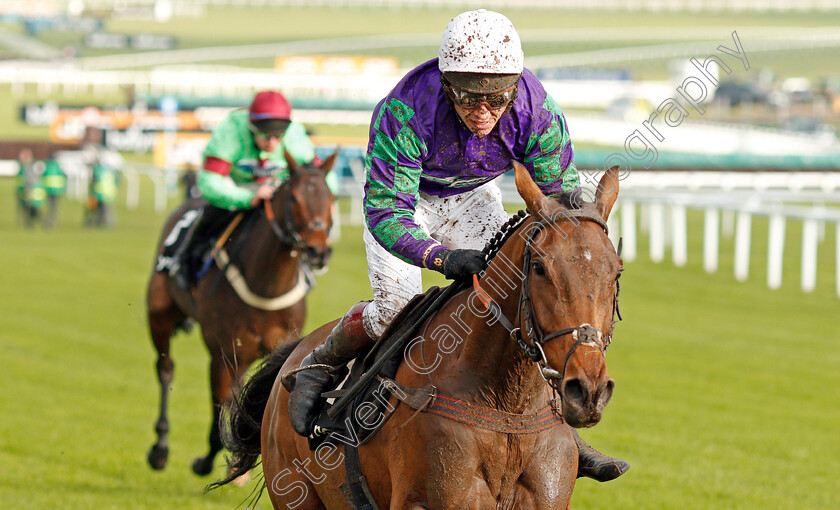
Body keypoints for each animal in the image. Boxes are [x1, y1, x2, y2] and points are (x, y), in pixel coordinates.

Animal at [146, 153, 336, 476]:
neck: (267, 286)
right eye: (294, 198)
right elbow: (220, 408)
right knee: (165, 368)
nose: (318, 251)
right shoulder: (224, 354)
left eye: (331, 197)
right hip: (158, 314)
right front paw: (206, 460)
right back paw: (160, 447)